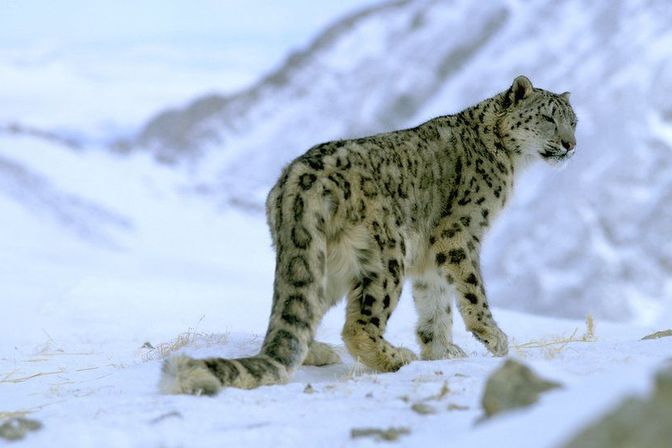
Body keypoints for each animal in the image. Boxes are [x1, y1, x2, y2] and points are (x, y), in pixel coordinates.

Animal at [161, 75, 576, 394]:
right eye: (548, 118)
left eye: (574, 121)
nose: (571, 145)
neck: (510, 162)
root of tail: (297, 182)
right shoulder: (459, 235)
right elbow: (471, 291)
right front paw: (495, 339)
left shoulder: (429, 255)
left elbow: (435, 302)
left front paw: (442, 350)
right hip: (386, 255)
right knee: (359, 325)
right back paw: (395, 357)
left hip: (323, 263)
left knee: (300, 314)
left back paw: (319, 352)